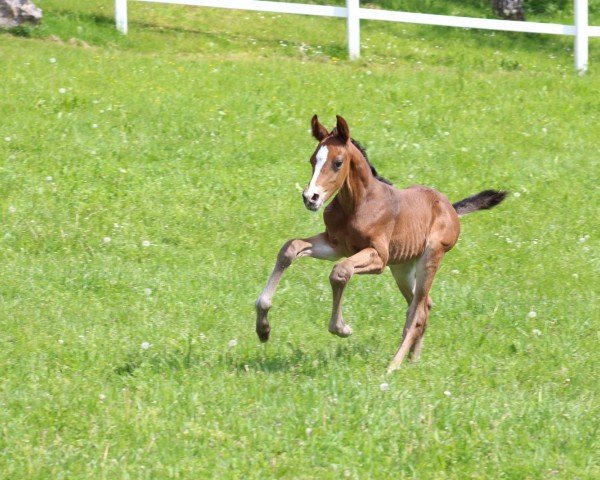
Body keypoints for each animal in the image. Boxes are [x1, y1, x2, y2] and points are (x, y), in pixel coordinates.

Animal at [254, 114, 506, 374]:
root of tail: (451, 208)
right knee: (424, 305)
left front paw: (342, 328)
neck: (358, 204)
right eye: (313, 159)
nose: (310, 198)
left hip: (430, 258)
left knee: (416, 311)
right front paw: (263, 328)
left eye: (338, 162)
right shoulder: (335, 246)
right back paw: (413, 359)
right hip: (402, 268)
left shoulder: (379, 258)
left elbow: (340, 271)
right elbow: (290, 248)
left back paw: (393, 365)